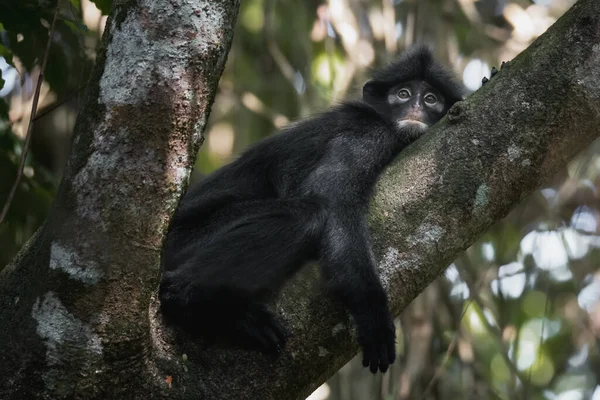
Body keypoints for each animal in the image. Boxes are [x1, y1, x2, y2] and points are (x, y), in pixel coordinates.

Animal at [159, 45, 464, 374]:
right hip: (185, 240)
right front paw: (373, 312)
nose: (415, 108)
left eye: (431, 99)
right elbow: (333, 201)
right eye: (403, 94)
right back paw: (189, 296)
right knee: (305, 214)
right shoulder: (368, 136)